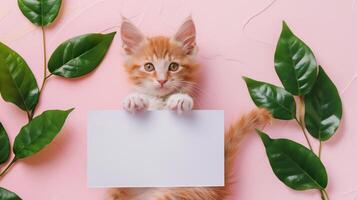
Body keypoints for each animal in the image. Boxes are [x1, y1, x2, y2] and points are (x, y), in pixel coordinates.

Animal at [110, 18, 272, 199]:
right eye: (149, 67)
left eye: (173, 66)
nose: (162, 80)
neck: (161, 101)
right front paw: (135, 99)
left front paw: (181, 99)